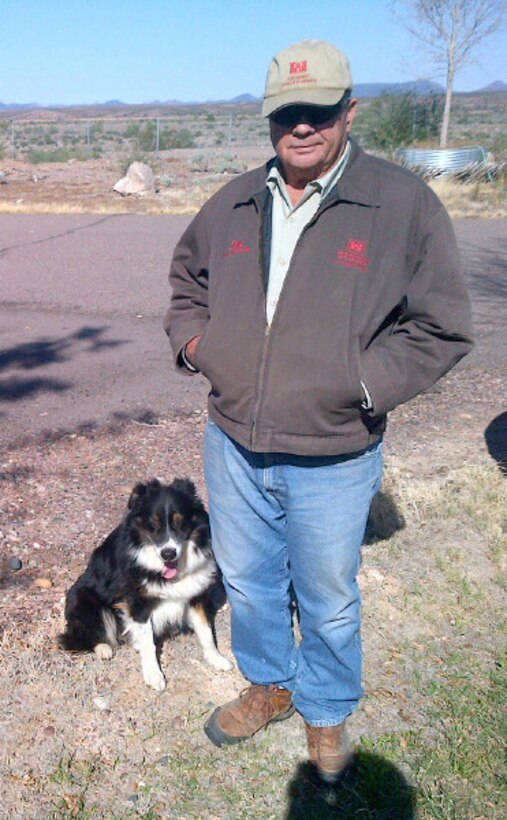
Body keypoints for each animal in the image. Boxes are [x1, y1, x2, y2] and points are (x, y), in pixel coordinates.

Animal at [58, 478, 233, 688]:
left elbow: (206, 632)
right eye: (152, 524)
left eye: (180, 522)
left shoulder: (196, 594)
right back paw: (103, 648)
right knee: (81, 635)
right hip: (84, 599)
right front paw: (153, 675)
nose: (168, 554)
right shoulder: (137, 602)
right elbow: (148, 640)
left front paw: (216, 659)